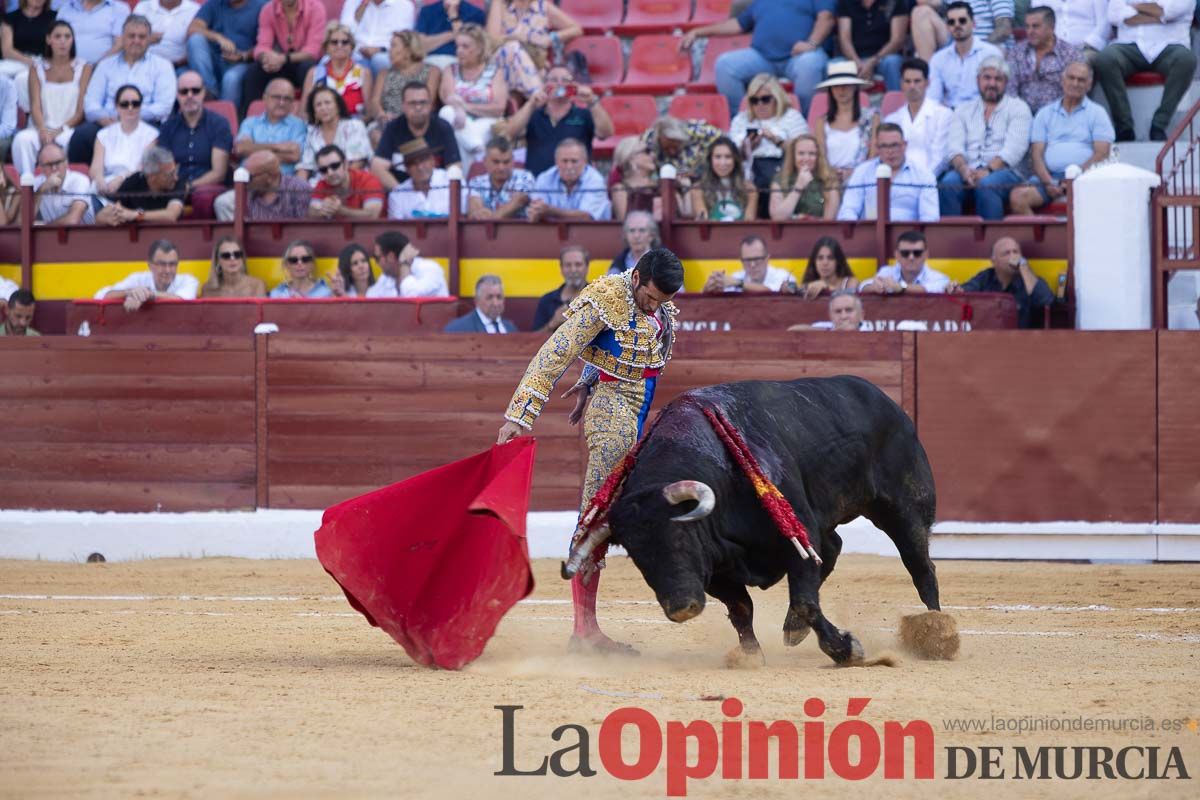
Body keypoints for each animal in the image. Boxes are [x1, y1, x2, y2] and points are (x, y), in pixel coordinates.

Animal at [566, 379, 940, 666]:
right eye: (637, 557)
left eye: (680, 536)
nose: (681, 608)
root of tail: (884, 400)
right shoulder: (717, 568)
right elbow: (743, 609)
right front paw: (750, 655)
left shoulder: (797, 538)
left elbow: (805, 600)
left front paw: (846, 650)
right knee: (834, 548)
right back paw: (793, 628)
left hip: (905, 506)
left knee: (920, 565)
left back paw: (937, 631)